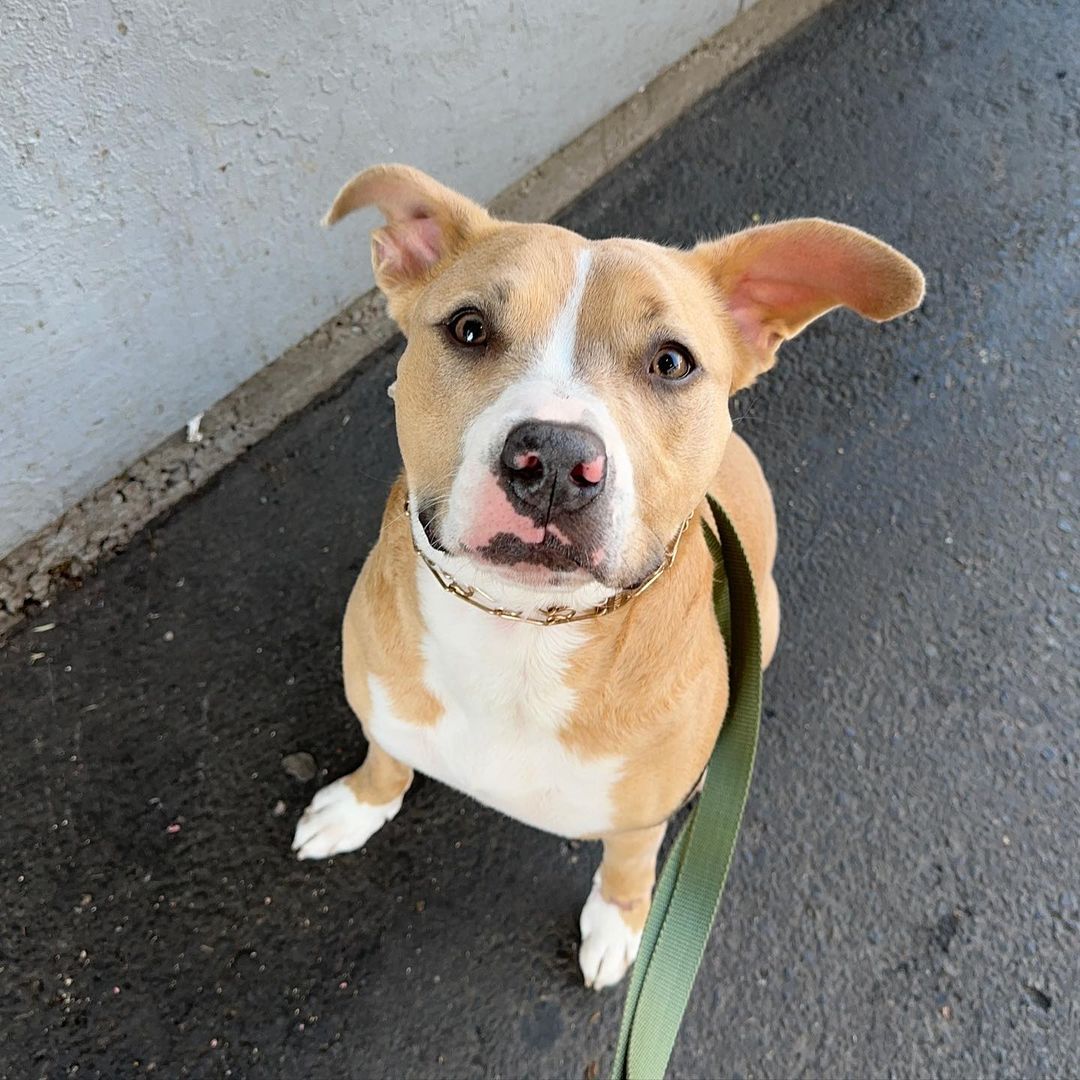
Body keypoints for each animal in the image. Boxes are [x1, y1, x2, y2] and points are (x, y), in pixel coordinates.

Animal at [295, 166, 928, 989]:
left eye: (672, 361)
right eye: (469, 328)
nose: (556, 462)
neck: (523, 632)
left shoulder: (635, 818)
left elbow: (628, 863)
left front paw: (619, 923)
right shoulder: (384, 701)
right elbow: (386, 753)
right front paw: (359, 805)